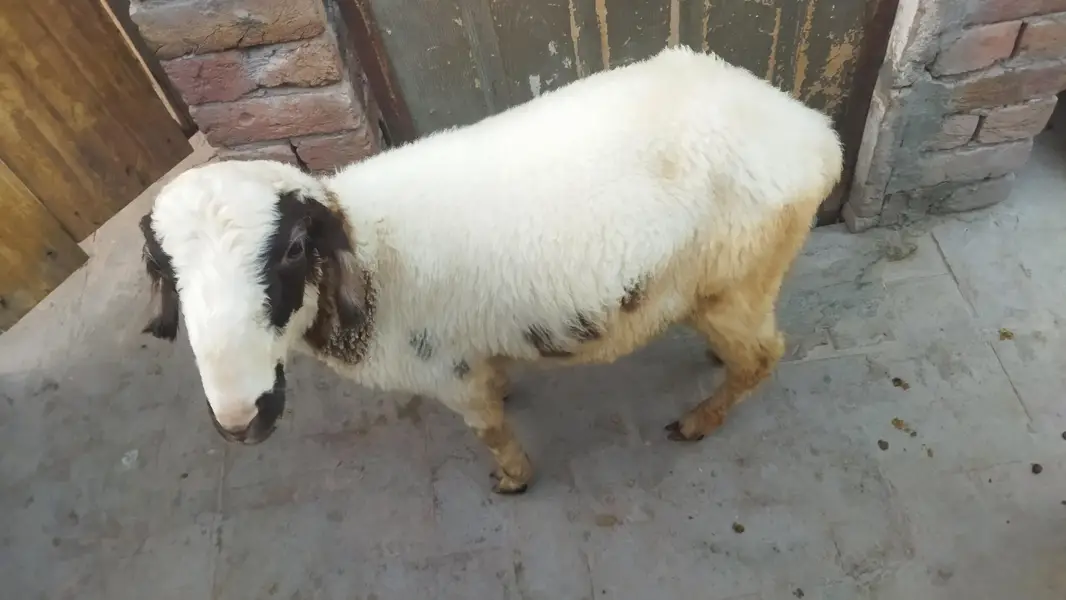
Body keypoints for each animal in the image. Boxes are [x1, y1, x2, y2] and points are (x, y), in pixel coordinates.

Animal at [139, 45, 843, 494]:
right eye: (164, 270)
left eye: (291, 249)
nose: (241, 420)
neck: (372, 256)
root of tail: (814, 130)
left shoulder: (446, 373)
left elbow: (489, 431)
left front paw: (512, 479)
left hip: (739, 277)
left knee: (765, 355)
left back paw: (700, 419)